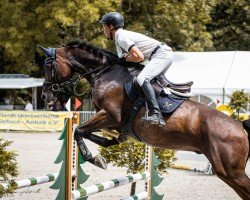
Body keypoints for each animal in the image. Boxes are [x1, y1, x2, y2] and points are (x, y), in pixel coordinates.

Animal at [37, 41, 250, 200]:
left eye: (47, 66)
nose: (46, 96)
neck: (104, 72)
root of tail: (240, 126)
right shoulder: (112, 122)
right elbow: (94, 134)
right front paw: (107, 149)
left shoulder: (109, 115)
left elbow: (78, 131)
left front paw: (94, 158)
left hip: (230, 171)